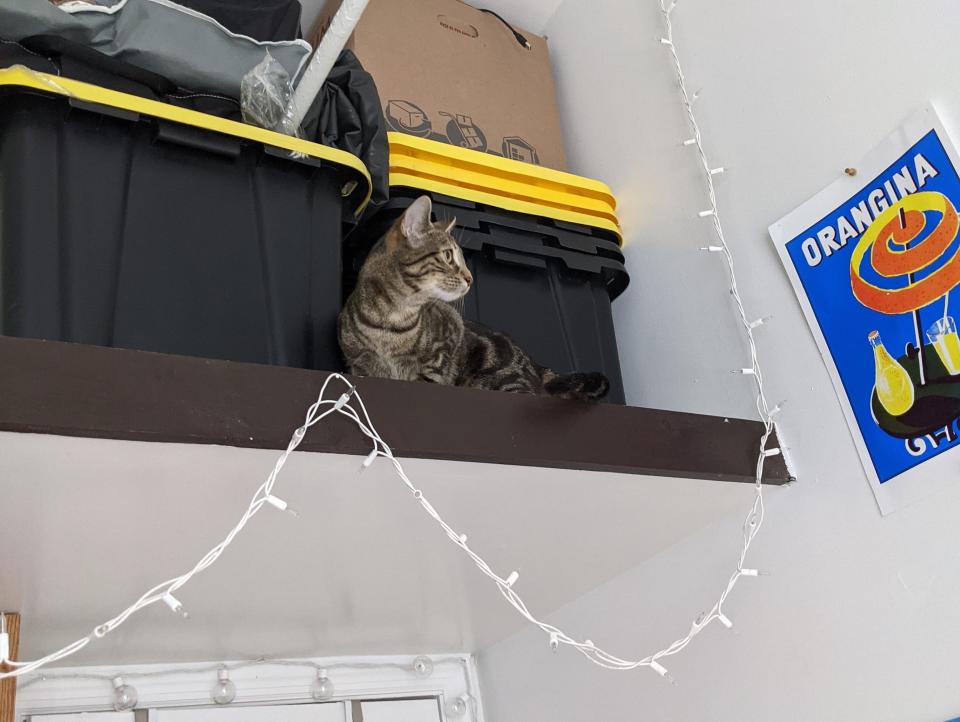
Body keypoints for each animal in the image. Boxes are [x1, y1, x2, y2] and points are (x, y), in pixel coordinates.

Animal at [338, 194, 608, 400]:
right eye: (448, 256)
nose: (470, 278)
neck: (392, 321)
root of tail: (535, 364)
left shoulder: (444, 348)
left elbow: (429, 377)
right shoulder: (359, 365)